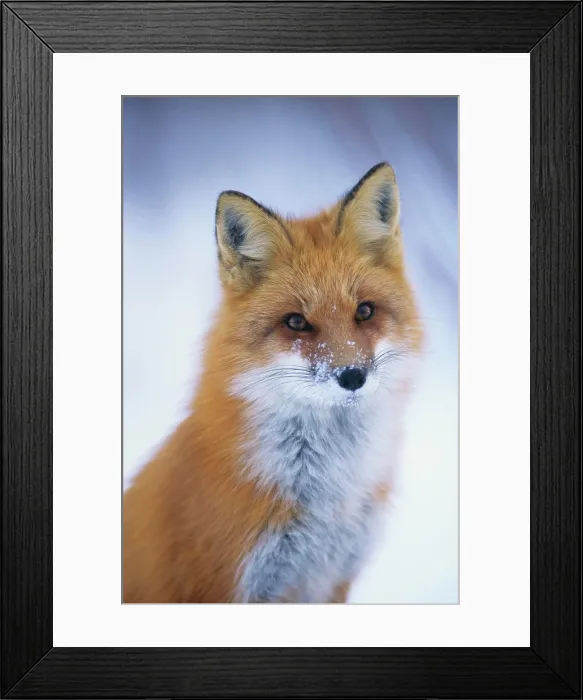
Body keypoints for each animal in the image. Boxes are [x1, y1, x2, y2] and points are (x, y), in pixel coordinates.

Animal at [123, 162, 423, 603]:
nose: (352, 376)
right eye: (296, 322)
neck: (328, 498)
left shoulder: (334, 579)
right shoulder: (228, 583)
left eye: (365, 312)